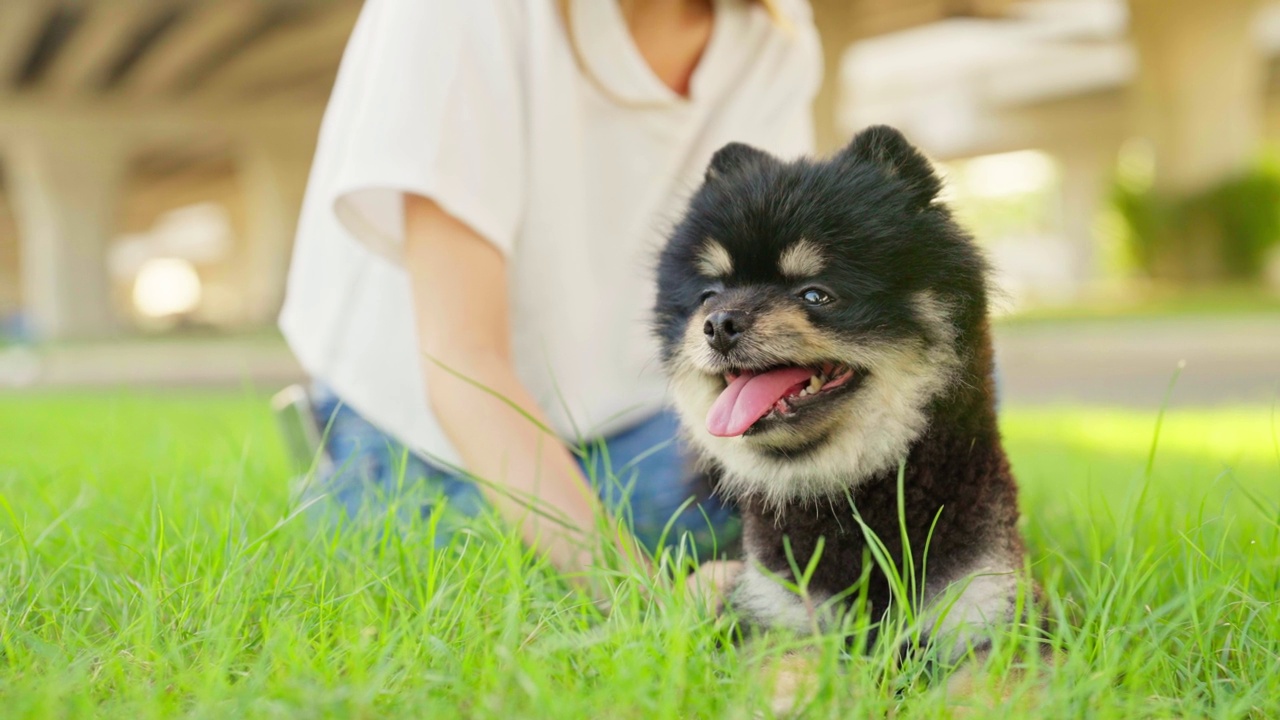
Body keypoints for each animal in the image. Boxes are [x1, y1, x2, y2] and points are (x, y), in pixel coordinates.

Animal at [655, 124, 1034, 676]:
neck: (852, 496)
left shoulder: (985, 609)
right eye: (709, 295)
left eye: (816, 295)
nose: (719, 323)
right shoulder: (778, 616)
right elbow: (789, 673)